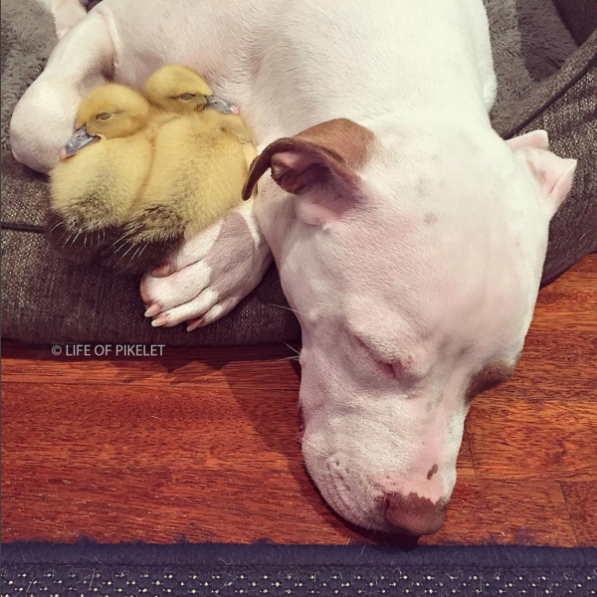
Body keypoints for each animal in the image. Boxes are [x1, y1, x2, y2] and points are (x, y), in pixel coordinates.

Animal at [11, 0, 576, 532]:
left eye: (492, 382)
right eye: (375, 355)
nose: (417, 519)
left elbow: (262, 182)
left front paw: (217, 264)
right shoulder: (111, 25)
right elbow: (36, 127)